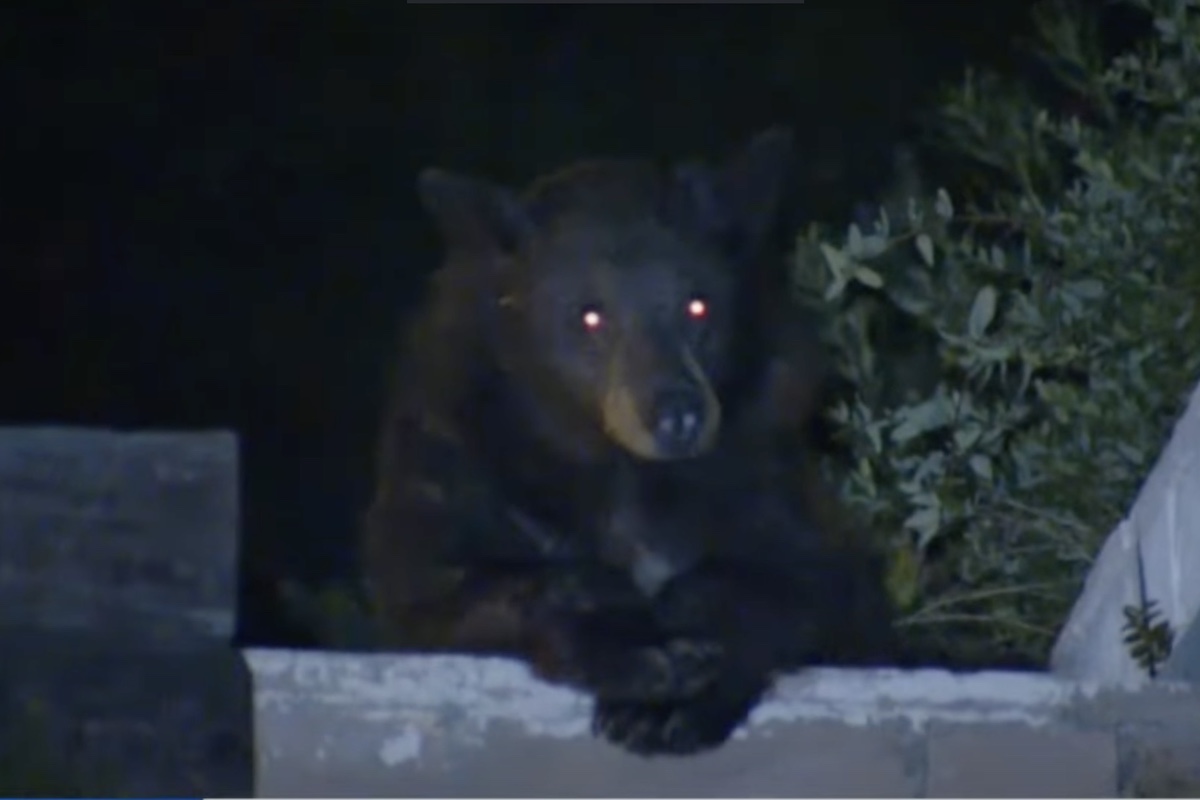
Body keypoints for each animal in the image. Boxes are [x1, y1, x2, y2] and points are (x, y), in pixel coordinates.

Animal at [361, 128, 900, 756]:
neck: (621, 473)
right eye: (590, 316)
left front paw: (674, 697)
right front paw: (637, 647)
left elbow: (804, 587)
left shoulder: (770, 484)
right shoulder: (451, 478)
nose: (678, 415)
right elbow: (459, 591)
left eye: (698, 305)